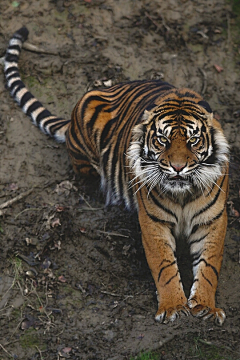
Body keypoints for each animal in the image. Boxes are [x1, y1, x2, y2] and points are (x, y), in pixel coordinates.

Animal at [3, 28, 229, 324]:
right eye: (162, 140)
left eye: (193, 140)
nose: (178, 168)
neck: (182, 194)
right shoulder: (153, 222)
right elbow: (165, 267)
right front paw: (172, 307)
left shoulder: (213, 220)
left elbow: (209, 265)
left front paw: (205, 306)